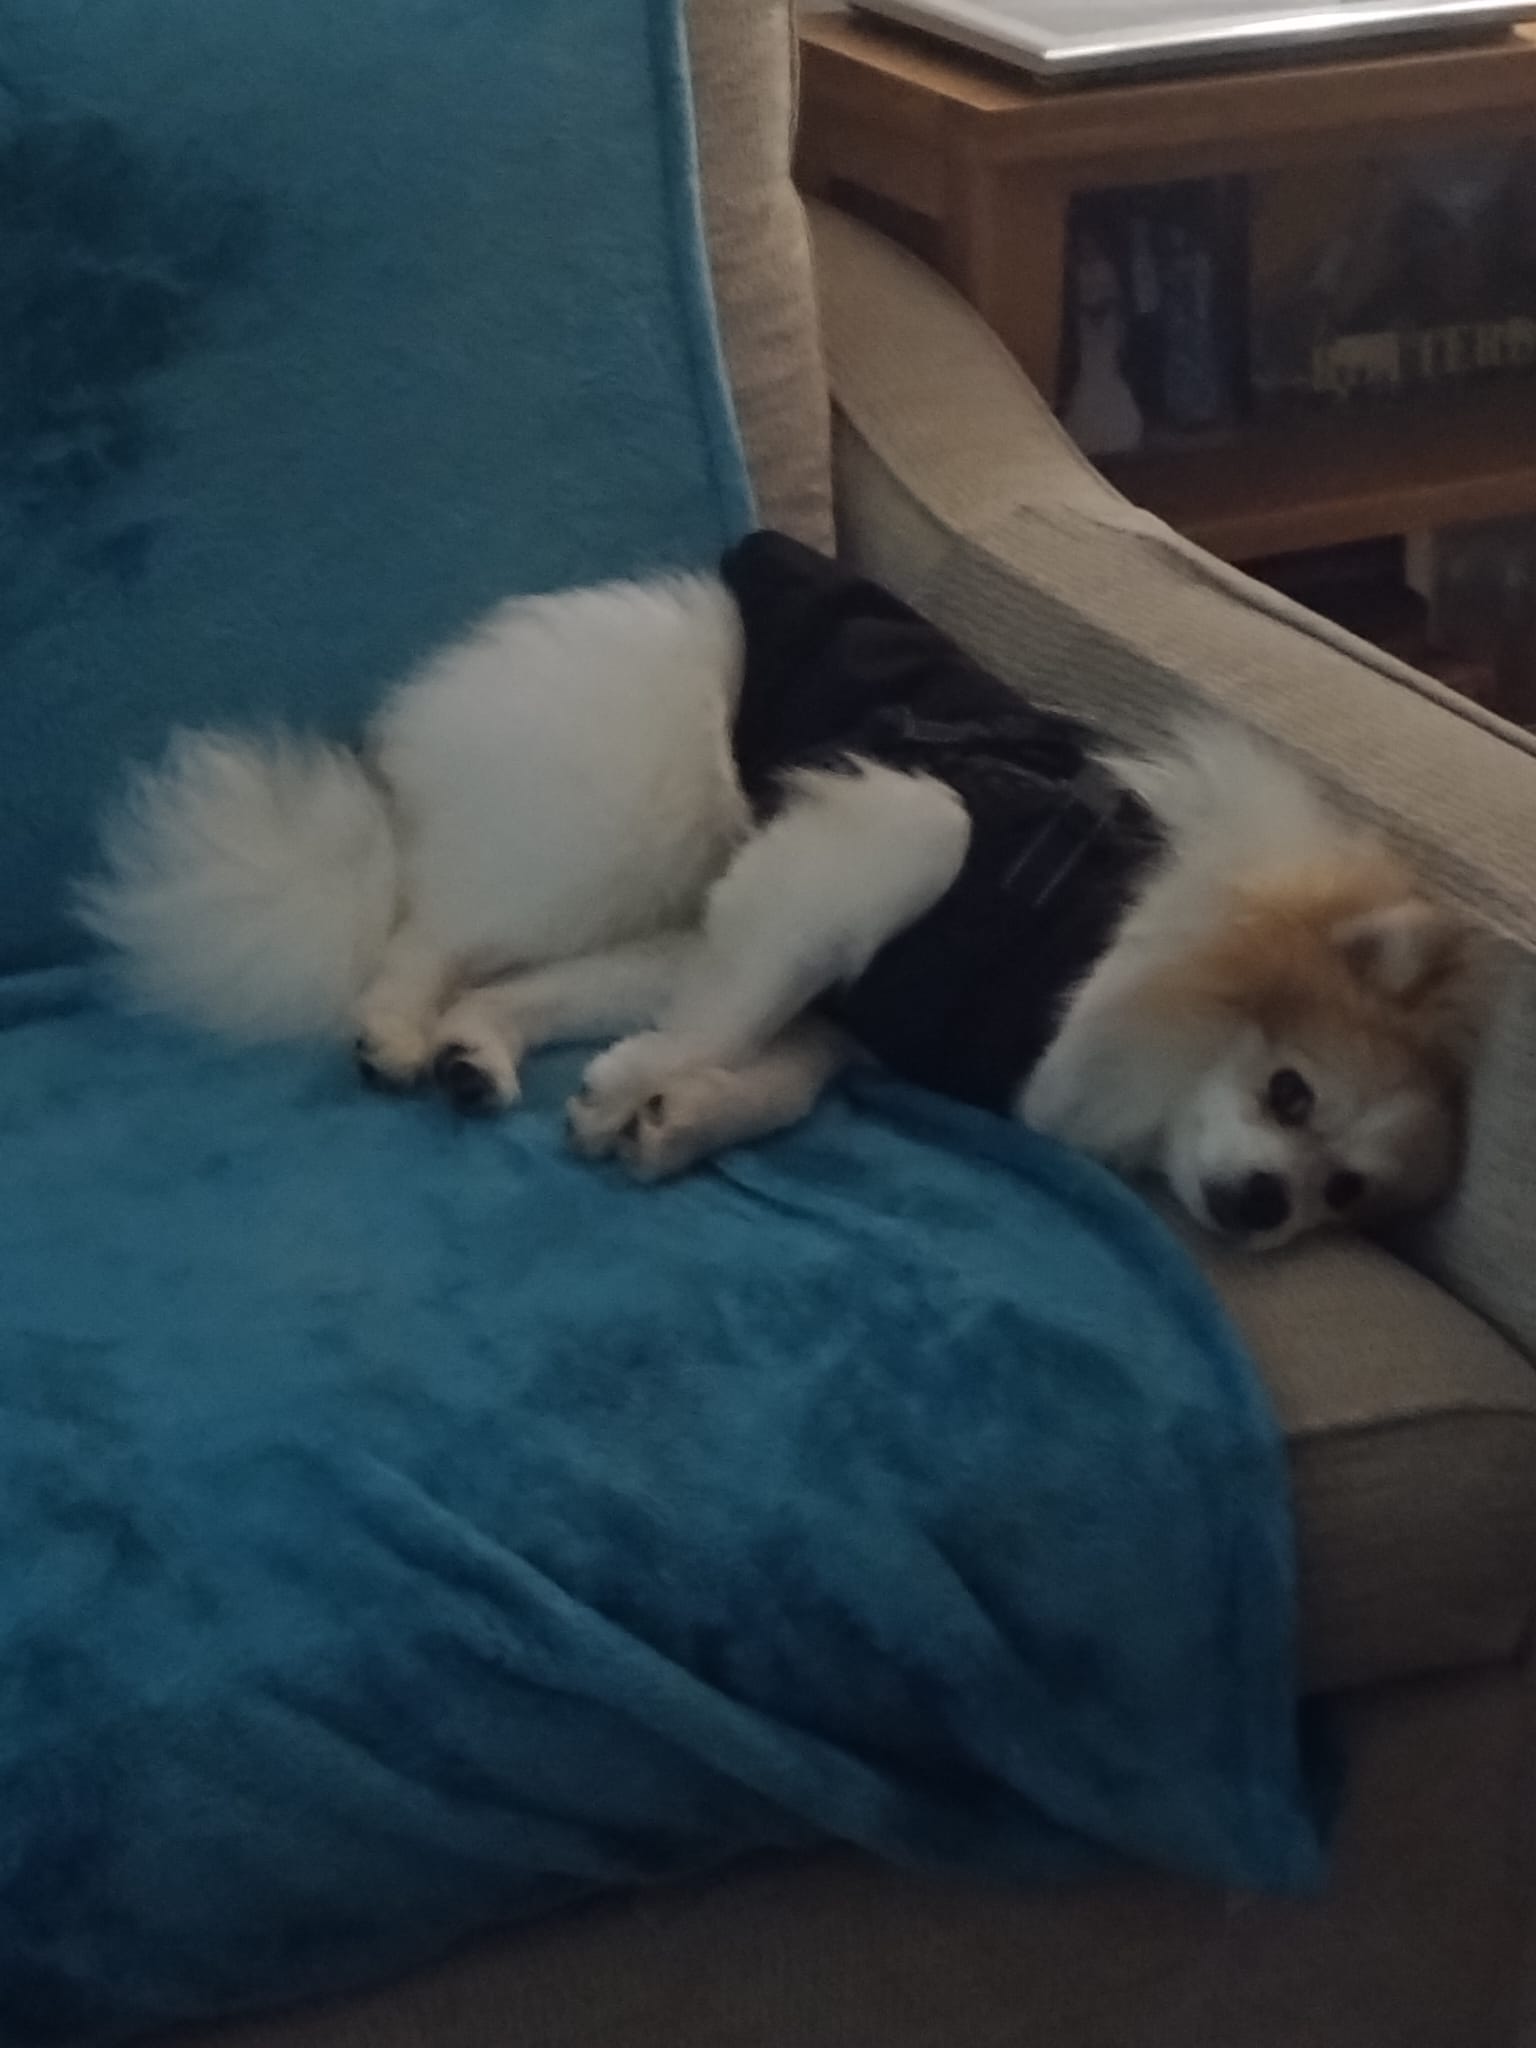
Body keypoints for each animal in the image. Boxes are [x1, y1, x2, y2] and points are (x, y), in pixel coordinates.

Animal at [81, 532, 1483, 1250]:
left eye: (1344, 1197)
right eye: (1290, 1092)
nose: (1264, 1208)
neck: (1110, 937)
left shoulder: (850, 1001)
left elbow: (775, 1063)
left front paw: (668, 1108)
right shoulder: (891, 828)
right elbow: (753, 1005)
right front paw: (648, 1084)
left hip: (672, 905)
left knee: (533, 979)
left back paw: (479, 1052)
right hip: (628, 823)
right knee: (432, 919)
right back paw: (395, 1021)